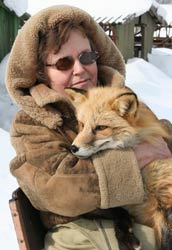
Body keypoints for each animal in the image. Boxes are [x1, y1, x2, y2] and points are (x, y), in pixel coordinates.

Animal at [65, 85, 172, 249]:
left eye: (101, 127)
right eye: (82, 124)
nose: (73, 148)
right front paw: (125, 237)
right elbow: (118, 211)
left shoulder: (165, 200)